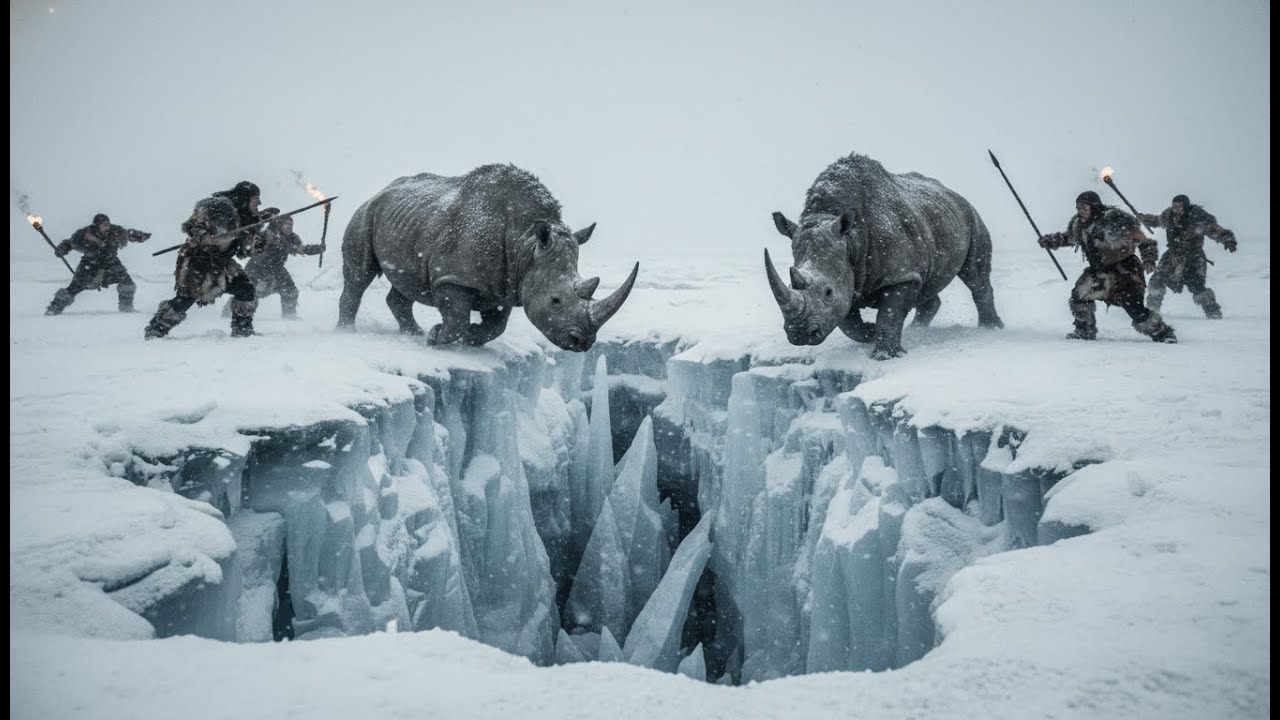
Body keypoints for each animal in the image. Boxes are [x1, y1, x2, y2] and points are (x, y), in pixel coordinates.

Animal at [338, 164, 638, 351]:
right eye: (555, 301)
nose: (583, 342)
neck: (526, 244)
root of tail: (380, 191)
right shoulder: (453, 277)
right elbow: (457, 319)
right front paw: (437, 336)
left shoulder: (505, 284)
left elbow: (496, 326)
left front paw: (467, 337)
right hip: (365, 213)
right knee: (359, 276)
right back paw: (347, 332)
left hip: (407, 219)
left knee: (405, 284)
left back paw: (413, 334)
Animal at [766, 153, 1003, 360]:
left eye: (828, 292)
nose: (799, 334)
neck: (851, 239)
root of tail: (953, 193)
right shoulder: (849, 275)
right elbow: (848, 322)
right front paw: (871, 333)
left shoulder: (901, 275)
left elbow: (889, 313)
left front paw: (884, 356)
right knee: (928, 285)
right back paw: (916, 330)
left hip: (971, 215)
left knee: (974, 275)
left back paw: (990, 329)